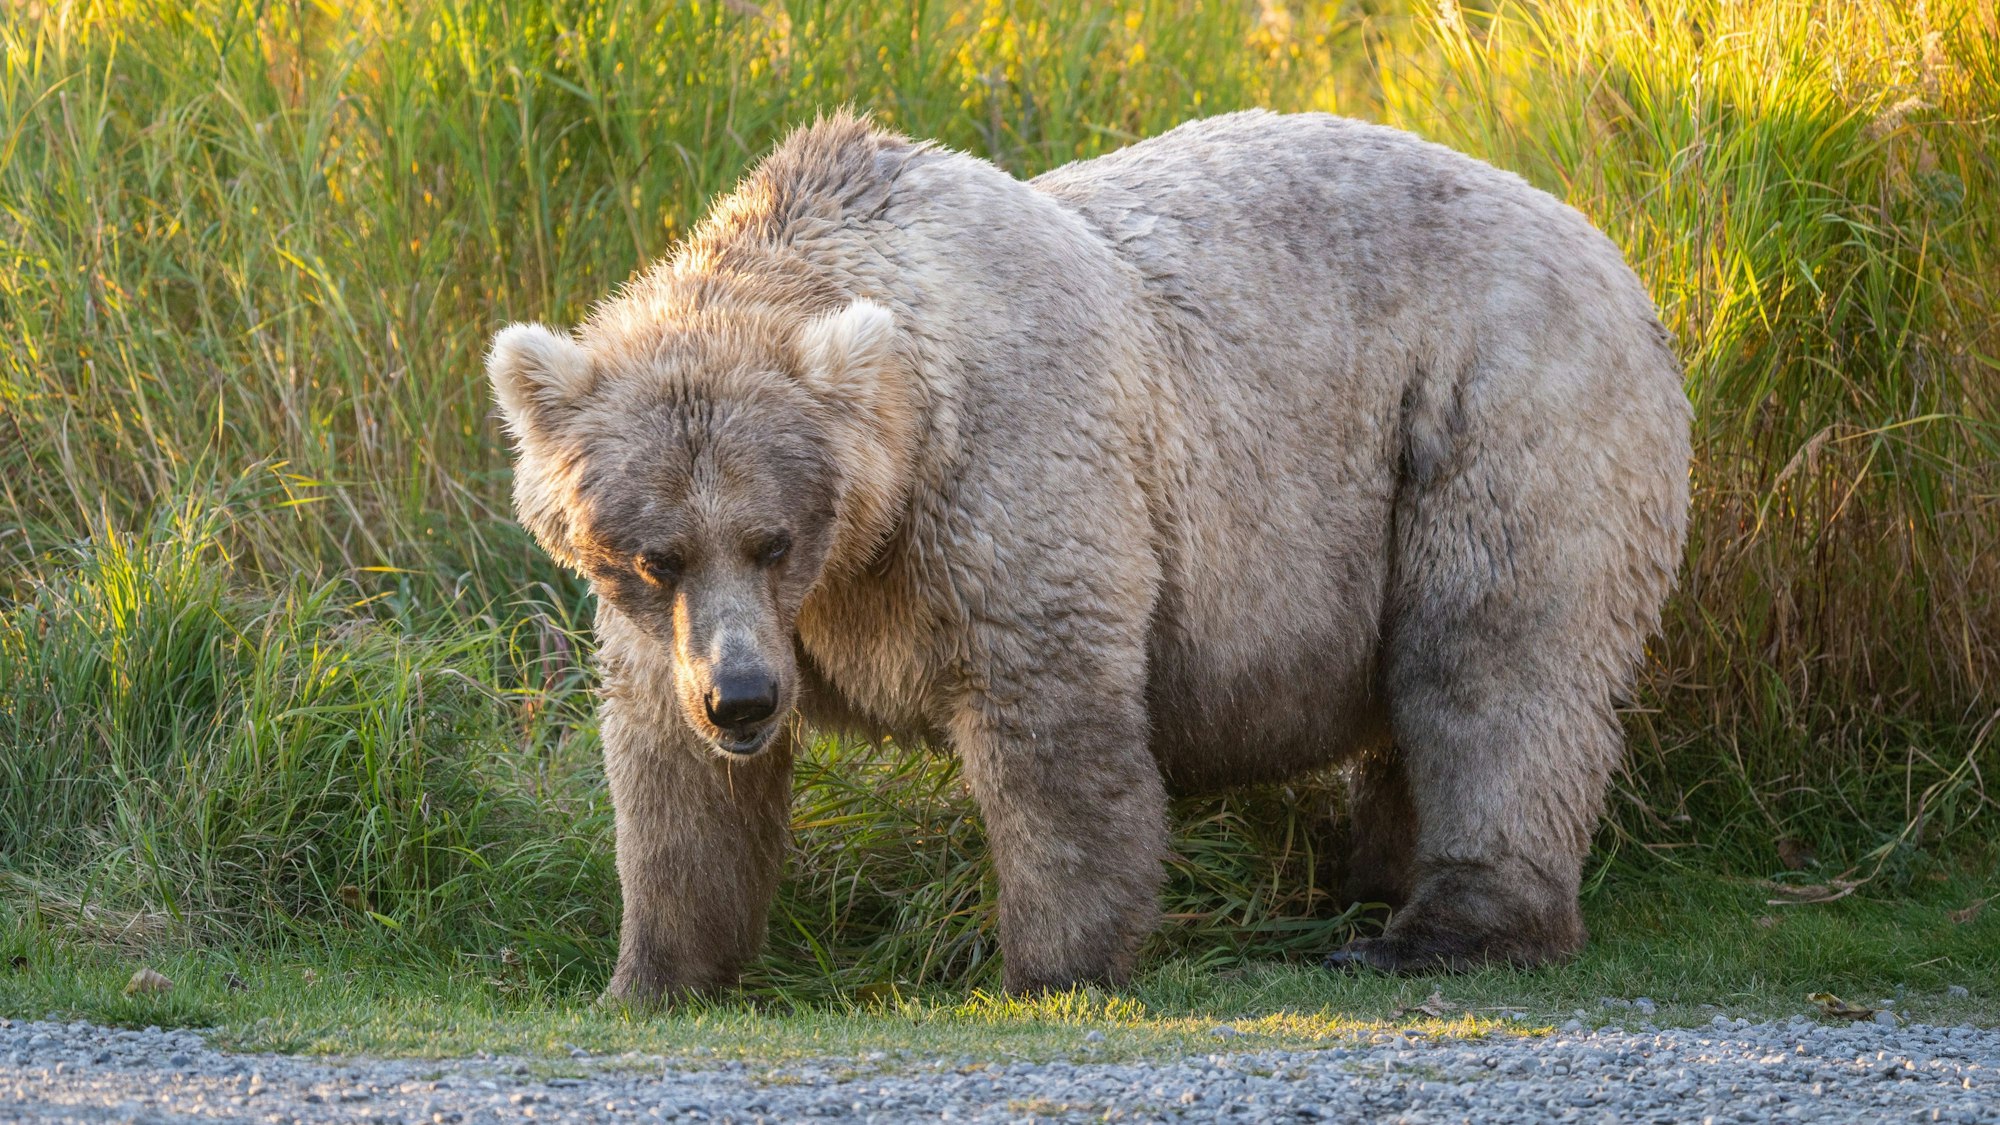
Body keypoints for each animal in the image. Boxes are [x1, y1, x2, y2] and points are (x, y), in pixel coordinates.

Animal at [485, 109, 1692, 1002]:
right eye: (654, 554)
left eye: (772, 537)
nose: (740, 697)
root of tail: (1607, 244)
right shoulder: (689, 630)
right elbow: (673, 785)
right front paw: (650, 975)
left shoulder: (1007, 478)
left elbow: (1051, 726)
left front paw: (1052, 963)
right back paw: (1370, 883)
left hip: (1492, 409)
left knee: (1493, 664)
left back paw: (1434, 927)